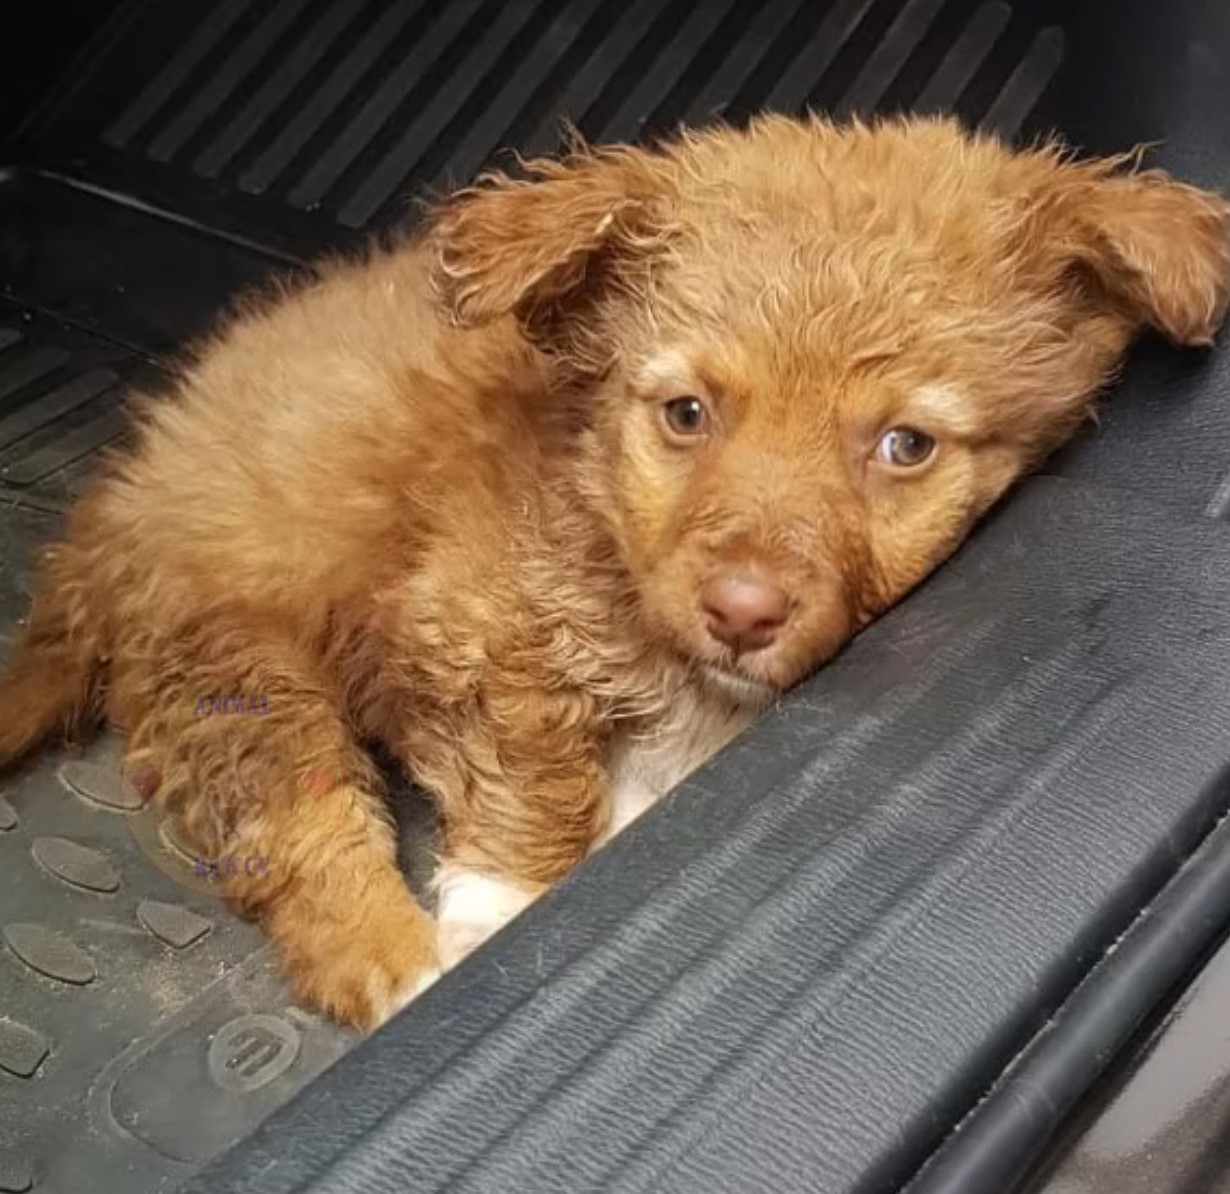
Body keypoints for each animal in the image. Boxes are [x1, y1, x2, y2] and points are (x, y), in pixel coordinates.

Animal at [2, 116, 1230, 1027]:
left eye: (906, 446)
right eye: (685, 413)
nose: (742, 613)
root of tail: (99, 529)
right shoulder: (458, 625)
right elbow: (537, 762)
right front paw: (502, 901)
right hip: (233, 665)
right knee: (299, 831)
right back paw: (402, 964)